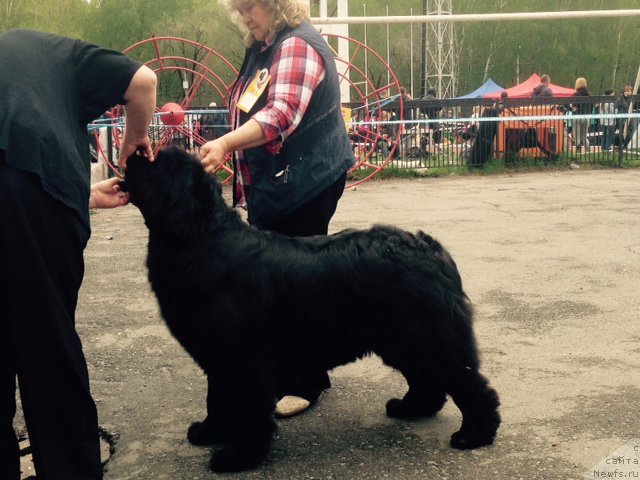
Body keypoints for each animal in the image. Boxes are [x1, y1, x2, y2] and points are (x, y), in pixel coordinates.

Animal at [121, 147, 500, 472]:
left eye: (158, 163)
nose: (135, 151)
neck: (199, 237)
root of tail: (432, 249)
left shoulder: (243, 360)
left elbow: (245, 409)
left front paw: (238, 457)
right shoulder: (217, 357)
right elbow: (216, 398)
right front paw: (208, 432)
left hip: (430, 337)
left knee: (470, 384)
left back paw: (474, 435)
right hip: (404, 341)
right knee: (427, 378)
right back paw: (410, 409)